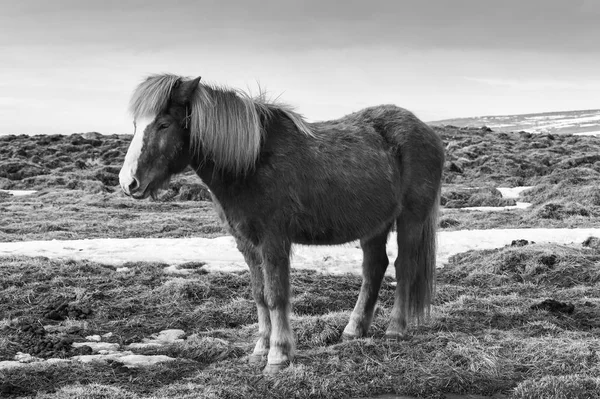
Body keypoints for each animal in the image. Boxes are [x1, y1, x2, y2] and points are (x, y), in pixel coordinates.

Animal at [118, 72, 446, 376]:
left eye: (164, 124)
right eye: (135, 125)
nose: (128, 182)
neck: (250, 162)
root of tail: (426, 130)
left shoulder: (274, 239)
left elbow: (276, 295)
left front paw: (278, 355)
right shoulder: (246, 243)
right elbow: (260, 295)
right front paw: (260, 350)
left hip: (411, 218)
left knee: (404, 267)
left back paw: (395, 328)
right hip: (374, 225)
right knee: (374, 268)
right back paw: (353, 330)